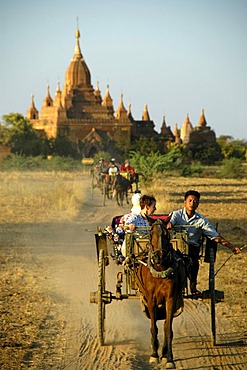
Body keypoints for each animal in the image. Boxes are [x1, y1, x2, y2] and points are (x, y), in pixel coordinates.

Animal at [136, 217, 186, 368]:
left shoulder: (170, 299)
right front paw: (154, 355)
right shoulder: (151, 299)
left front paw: (169, 359)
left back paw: (164, 354)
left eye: (166, 233)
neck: (160, 268)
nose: (159, 256)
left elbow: (167, 329)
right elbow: (154, 328)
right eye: (151, 232)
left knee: (165, 325)